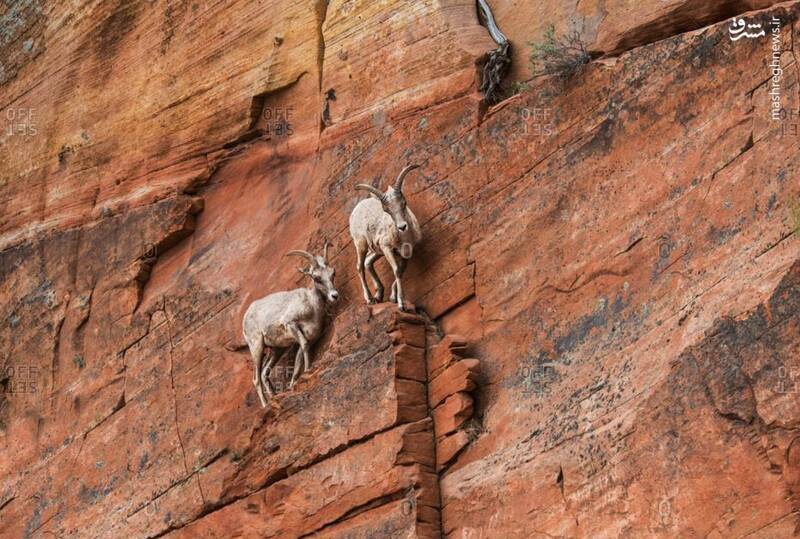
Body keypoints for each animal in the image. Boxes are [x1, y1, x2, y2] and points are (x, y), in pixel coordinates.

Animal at [241, 243, 334, 408]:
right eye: (317, 277)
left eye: (332, 274)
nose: (334, 295)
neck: (312, 306)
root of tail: (247, 314)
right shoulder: (291, 324)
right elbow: (304, 347)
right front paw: (309, 369)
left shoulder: (307, 339)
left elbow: (297, 363)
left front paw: (293, 384)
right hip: (257, 347)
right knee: (256, 378)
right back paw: (265, 405)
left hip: (277, 350)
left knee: (264, 373)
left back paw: (274, 397)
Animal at [350, 163, 424, 312]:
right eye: (387, 210)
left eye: (404, 203)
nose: (402, 227)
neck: (405, 239)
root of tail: (355, 211)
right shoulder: (388, 249)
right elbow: (396, 271)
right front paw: (401, 305)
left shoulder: (405, 254)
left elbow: (400, 271)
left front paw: (393, 298)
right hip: (362, 245)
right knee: (360, 266)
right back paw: (370, 299)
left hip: (376, 251)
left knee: (367, 262)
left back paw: (379, 295)